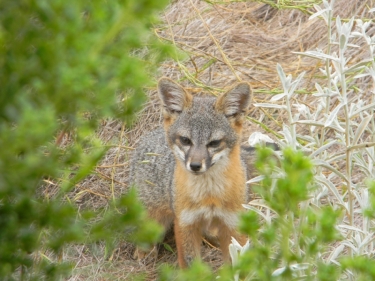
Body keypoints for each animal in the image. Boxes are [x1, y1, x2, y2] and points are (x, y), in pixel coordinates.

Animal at [131, 76, 254, 266]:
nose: (195, 165)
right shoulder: (185, 224)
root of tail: (149, 135)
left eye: (214, 143)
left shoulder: (233, 223)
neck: (209, 195)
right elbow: (191, 265)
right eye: (185, 140)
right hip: (154, 220)